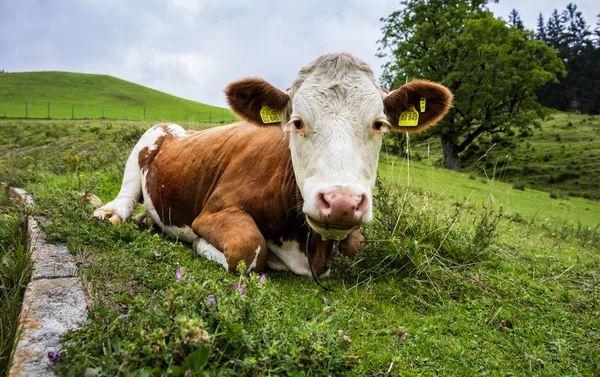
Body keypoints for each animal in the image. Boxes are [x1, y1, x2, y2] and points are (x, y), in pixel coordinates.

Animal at [92, 52, 450, 276]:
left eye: (378, 124)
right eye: (297, 122)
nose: (341, 203)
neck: (308, 249)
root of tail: (185, 130)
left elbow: (356, 242)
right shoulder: (213, 212)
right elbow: (249, 249)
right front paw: (200, 243)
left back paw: (147, 220)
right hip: (149, 138)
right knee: (127, 195)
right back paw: (109, 213)